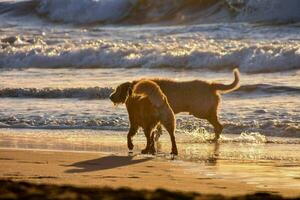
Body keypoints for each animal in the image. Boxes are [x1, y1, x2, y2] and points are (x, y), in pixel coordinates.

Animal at [109, 69, 239, 141]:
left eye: (117, 90)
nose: (110, 97)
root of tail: (211, 85)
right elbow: (158, 127)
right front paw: (156, 136)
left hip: (202, 111)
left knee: (219, 126)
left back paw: (215, 138)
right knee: (218, 125)